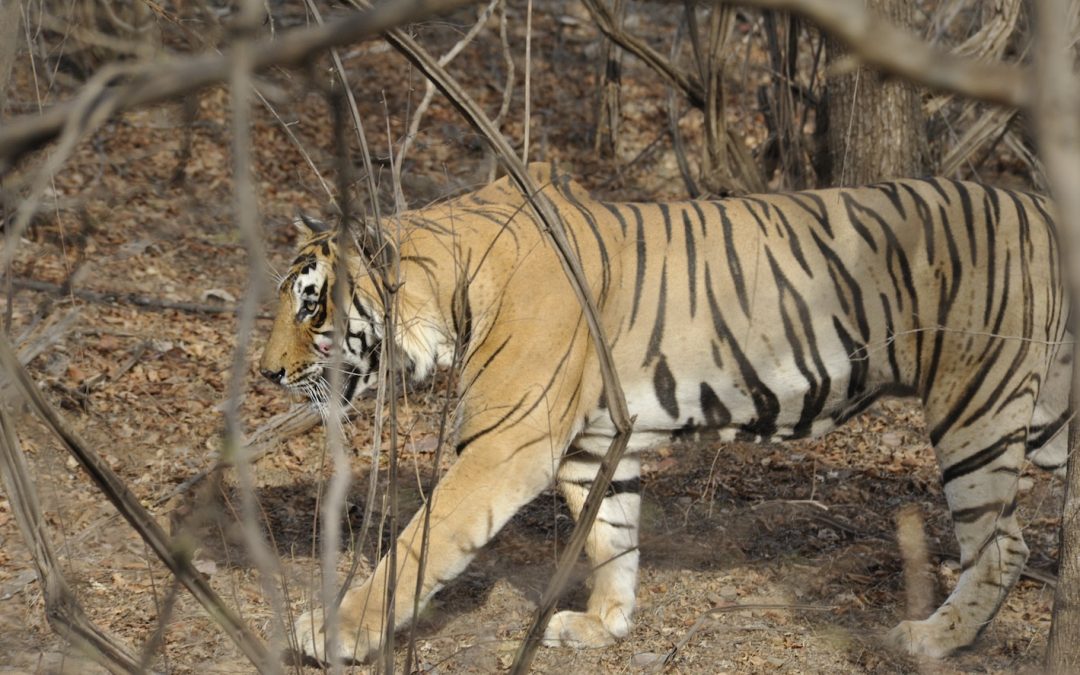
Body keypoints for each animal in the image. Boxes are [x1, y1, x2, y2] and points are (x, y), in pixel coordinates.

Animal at [259, 162, 1070, 662]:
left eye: (311, 305)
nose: (266, 372)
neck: (454, 288)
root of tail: (1045, 206)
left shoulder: (505, 443)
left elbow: (420, 542)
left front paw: (334, 630)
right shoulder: (590, 445)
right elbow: (611, 535)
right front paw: (605, 624)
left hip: (976, 406)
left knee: (1003, 544)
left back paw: (932, 639)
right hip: (1047, 415)